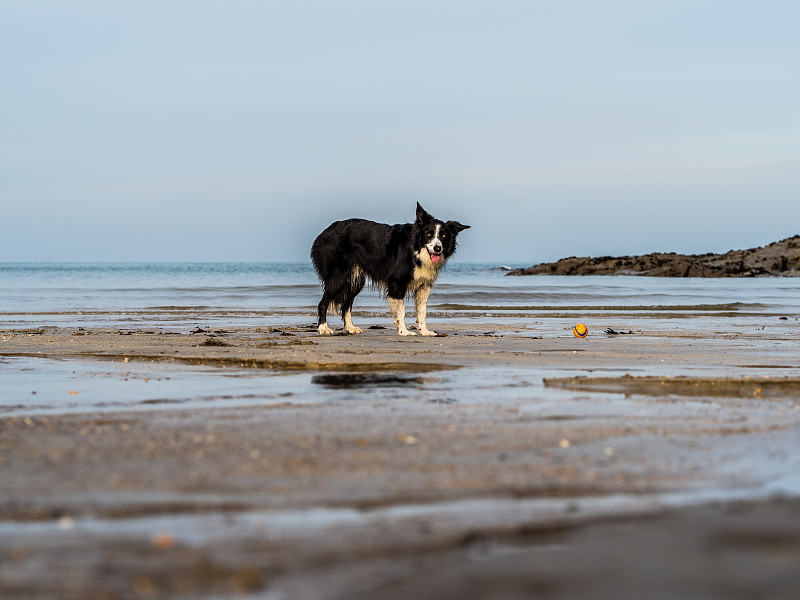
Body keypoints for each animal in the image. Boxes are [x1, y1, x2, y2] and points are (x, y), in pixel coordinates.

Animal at [308, 205, 468, 338]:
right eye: (429, 235)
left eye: (444, 236)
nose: (437, 248)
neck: (416, 249)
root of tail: (323, 232)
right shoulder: (396, 282)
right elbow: (401, 310)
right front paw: (404, 331)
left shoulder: (424, 285)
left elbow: (422, 311)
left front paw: (424, 331)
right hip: (337, 276)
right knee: (323, 303)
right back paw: (323, 328)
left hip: (356, 280)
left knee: (346, 305)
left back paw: (350, 328)